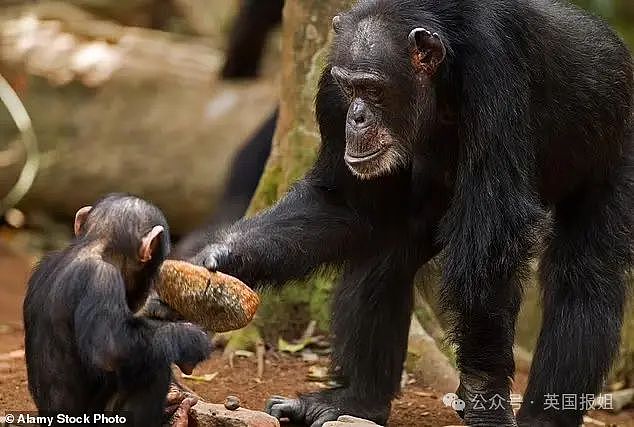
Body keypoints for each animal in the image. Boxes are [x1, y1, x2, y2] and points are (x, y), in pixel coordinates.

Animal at [23, 194, 211, 424]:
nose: (146, 289)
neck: (95, 246)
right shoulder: (102, 279)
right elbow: (111, 349)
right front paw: (191, 337)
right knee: (153, 368)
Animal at [193, 0, 632, 427]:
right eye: (350, 87)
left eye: (373, 89)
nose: (356, 116)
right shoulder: (331, 91)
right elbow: (345, 203)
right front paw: (224, 257)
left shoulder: (497, 74)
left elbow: (489, 244)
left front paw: (483, 398)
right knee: (384, 255)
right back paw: (356, 401)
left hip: (618, 140)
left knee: (584, 274)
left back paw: (545, 416)